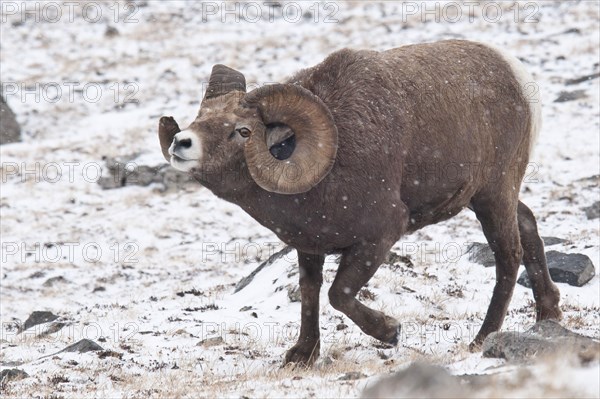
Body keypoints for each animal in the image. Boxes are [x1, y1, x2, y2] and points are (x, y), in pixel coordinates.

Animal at [158, 39, 564, 366]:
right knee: (528, 225)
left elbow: (338, 294)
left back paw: (481, 340)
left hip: (493, 195)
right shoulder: (309, 247)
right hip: (490, 198)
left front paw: (390, 332)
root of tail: (516, 74)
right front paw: (301, 356)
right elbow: (311, 293)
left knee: (508, 255)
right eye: (200, 117)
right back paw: (548, 315)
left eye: (242, 131)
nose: (181, 143)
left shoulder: (379, 237)